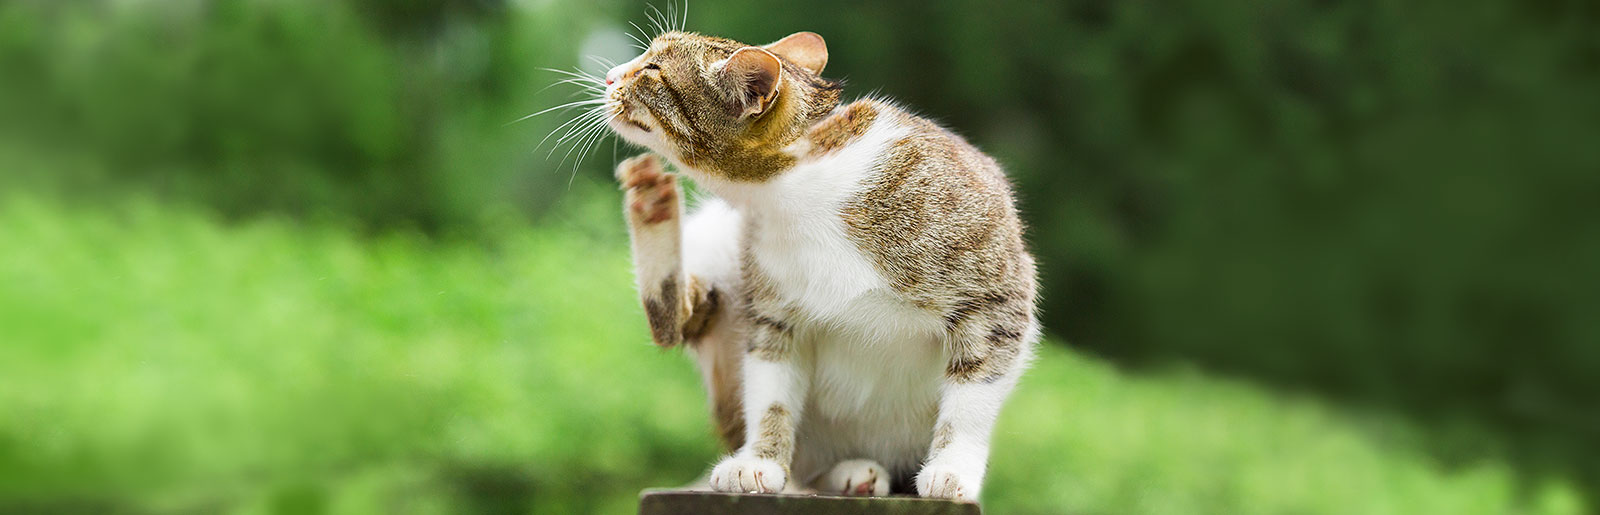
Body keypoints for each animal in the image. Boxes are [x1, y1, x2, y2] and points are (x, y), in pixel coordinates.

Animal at [601, 29, 1036, 502]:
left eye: (652, 69)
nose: (609, 76)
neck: (795, 189)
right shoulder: (773, 312)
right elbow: (771, 393)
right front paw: (760, 461)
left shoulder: (996, 297)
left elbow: (973, 396)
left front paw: (952, 469)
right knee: (675, 320)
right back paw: (651, 204)